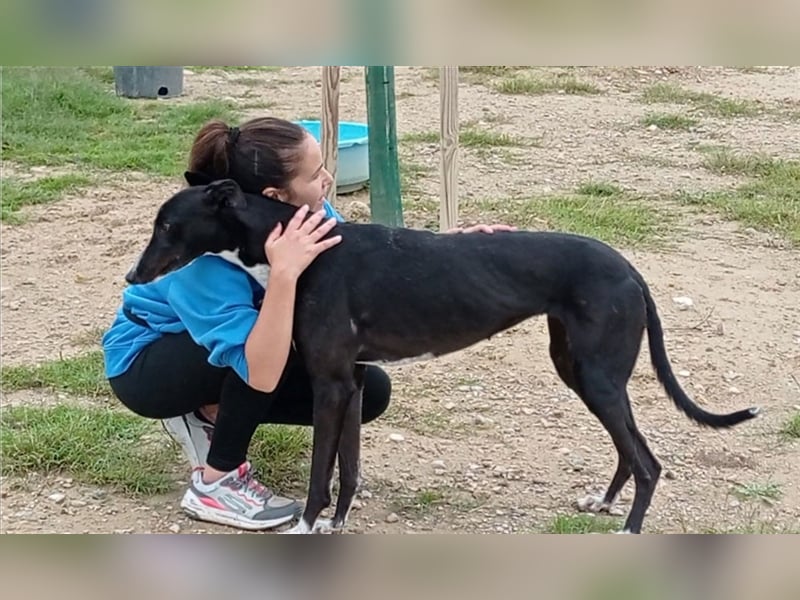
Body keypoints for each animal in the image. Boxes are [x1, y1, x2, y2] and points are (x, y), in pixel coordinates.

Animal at [128, 178, 760, 536]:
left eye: (168, 224)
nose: (133, 276)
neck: (297, 248)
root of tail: (630, 269)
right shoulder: (352, 382)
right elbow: (347, 468)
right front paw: (337, 524)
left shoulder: (331, 383)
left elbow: (320, 475)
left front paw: (307, 527)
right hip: (580, 371)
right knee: (632, 450)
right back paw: (603, 505)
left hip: (599, 377)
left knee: (649, 461)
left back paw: (628, 531)